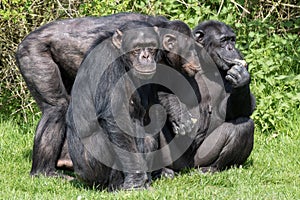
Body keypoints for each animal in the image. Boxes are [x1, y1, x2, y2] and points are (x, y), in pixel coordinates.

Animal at [15, 12, 199, 177]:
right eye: (190, 48)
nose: (196, 55)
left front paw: (178, 113)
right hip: (34, 55)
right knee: (56, 108)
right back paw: (44, 171)